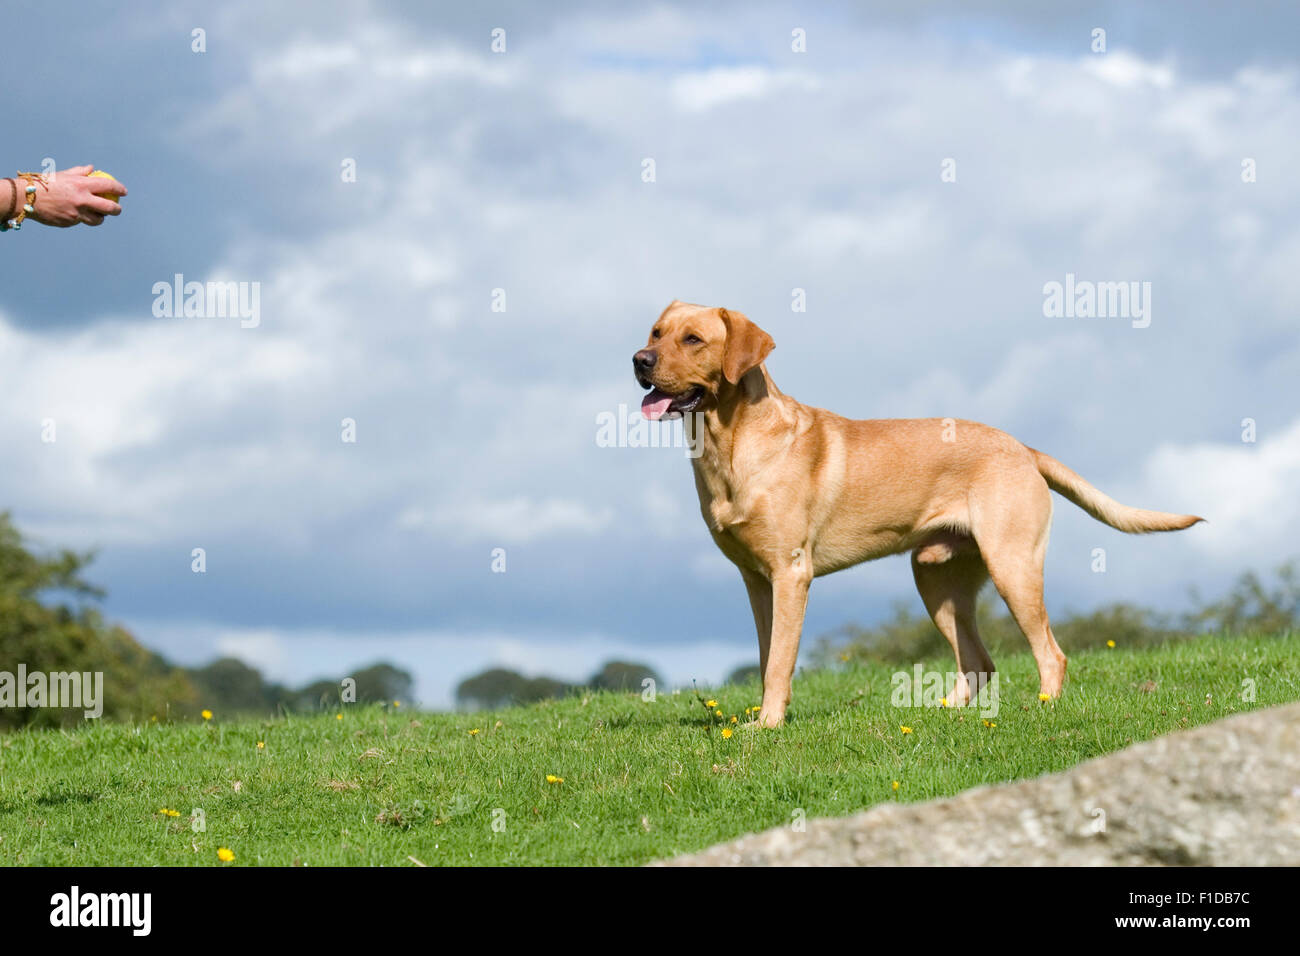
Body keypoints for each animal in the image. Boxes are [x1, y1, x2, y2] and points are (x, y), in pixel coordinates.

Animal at [634, 303, 1201, 728]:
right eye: (656, 332)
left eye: (692, 339)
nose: (639, 359)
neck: (728, 444)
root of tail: (1023, 447)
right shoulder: (756, 581)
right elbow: (765, 657)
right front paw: (763, 719)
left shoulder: (791, 573)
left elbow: (778, 664)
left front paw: (767, 726)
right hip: (936, 580)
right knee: (979, 662)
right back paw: (946, 714)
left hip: (1012, 566)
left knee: (1050, 653)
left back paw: (1043, 709)